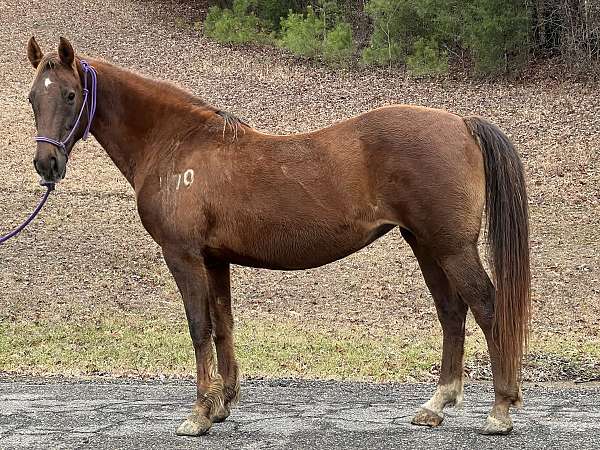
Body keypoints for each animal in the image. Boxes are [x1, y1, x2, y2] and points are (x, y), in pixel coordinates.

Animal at [25, 37, 528, 436]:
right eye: (32, 97)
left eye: (70, 94)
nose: (47, 165)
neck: (177, 142)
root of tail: (460, 122)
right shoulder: (215, 258)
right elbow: (222, 324)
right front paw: (222, 404)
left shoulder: (184, 256)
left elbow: (198, 327)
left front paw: (198, 414)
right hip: (425, 244)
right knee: (451, 312)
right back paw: (436, 404)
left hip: (451, 248)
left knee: (487, 306)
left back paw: (501, 410)